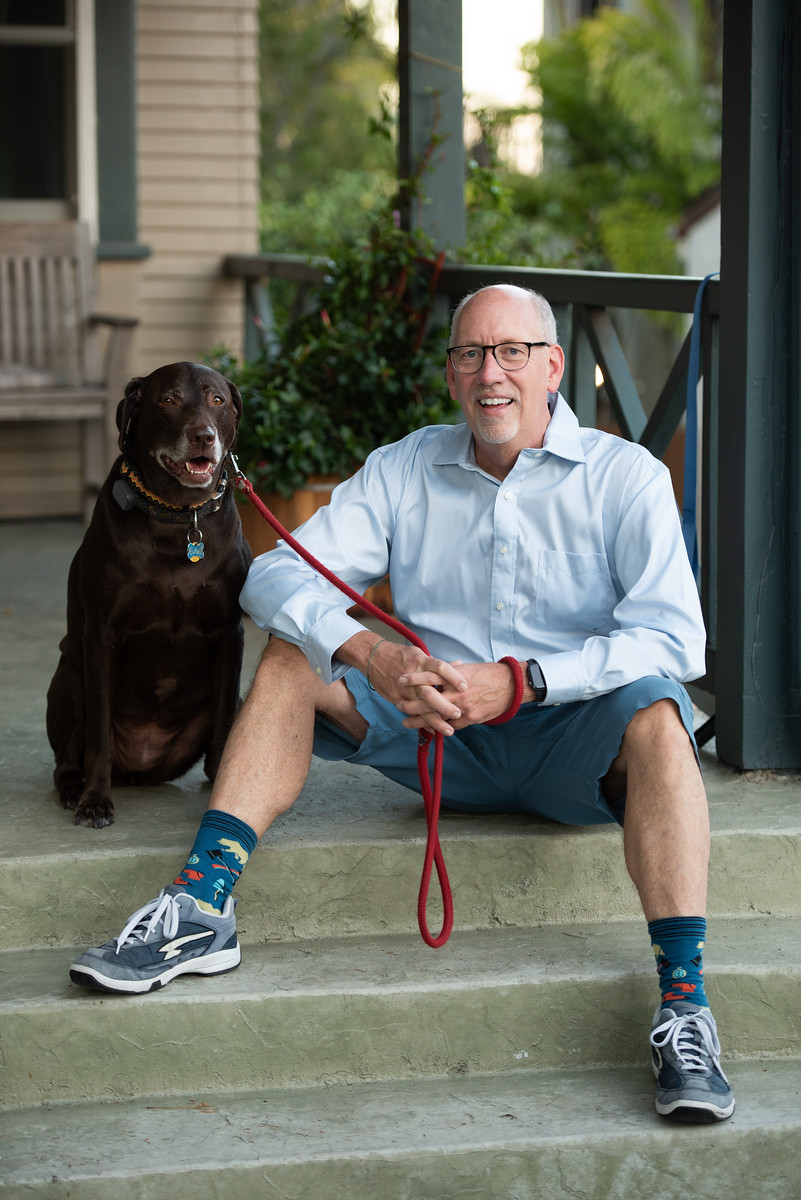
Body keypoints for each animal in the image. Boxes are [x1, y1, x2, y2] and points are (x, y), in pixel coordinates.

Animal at [46, 362, 253, 828]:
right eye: (168, 400)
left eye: (217, 399)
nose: (204, 436)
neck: (178, 519)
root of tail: (139, 769)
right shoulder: (101, 636)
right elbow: (97, 738)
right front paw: (94, 801)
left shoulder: (230, 634)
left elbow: (224, 731)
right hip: (68, 679)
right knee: (67, 757)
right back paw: (72, 788)